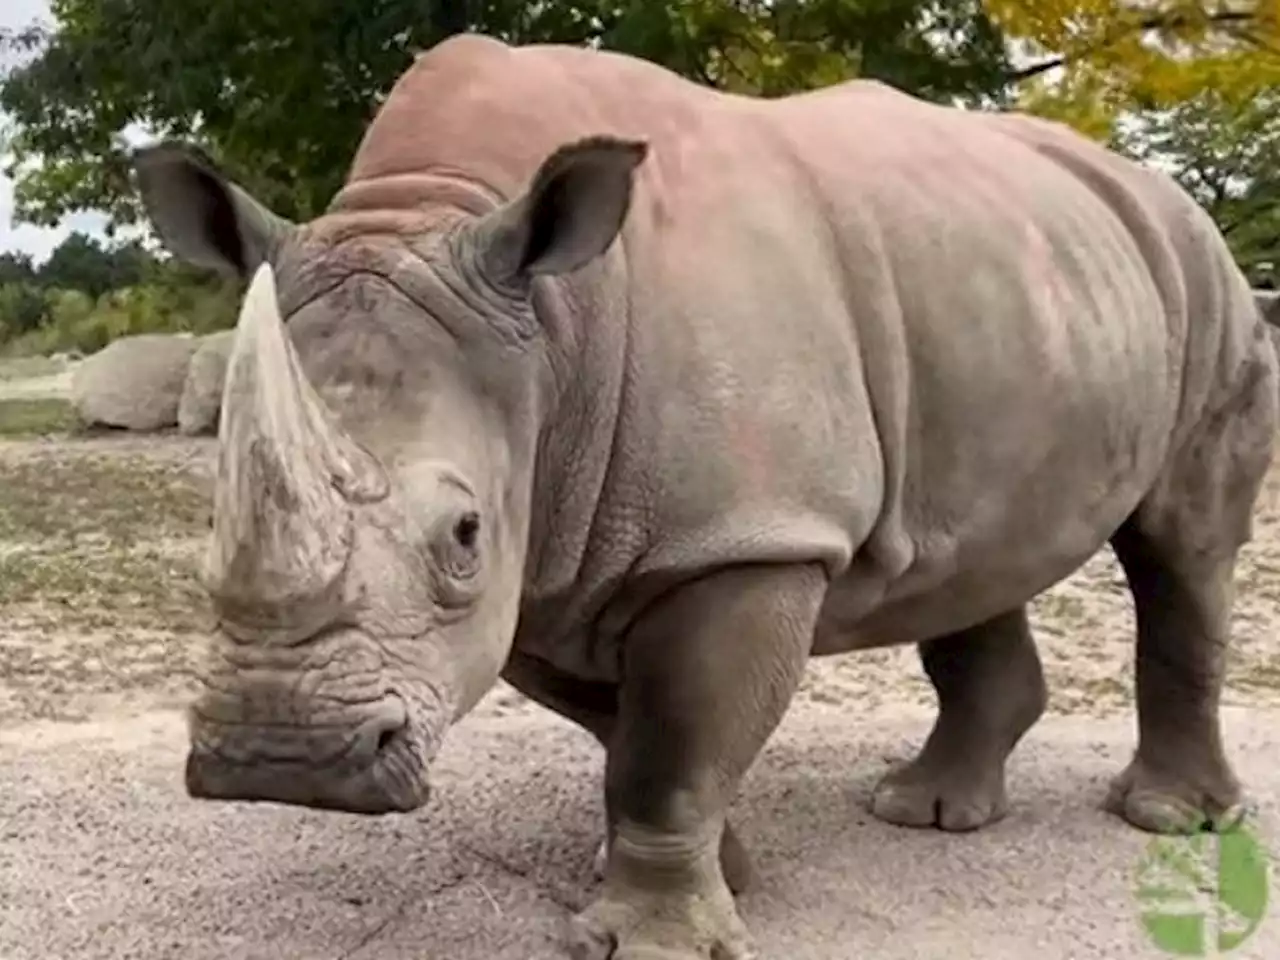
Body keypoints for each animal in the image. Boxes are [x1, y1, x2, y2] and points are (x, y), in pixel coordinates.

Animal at [135, 33, 1274, 960]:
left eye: (462, 534)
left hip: (1205, 278)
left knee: (1179, 548)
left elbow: (670, 746)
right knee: (971, 553)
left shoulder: (742, 537)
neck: (549, 328)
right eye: (209, 525)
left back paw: (1165, 822)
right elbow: (625, 731)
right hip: (1027, 292)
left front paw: (656, 941)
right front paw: (717, 877)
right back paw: (926, 811)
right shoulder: (557, 543)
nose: (282, 759)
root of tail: (1151, 190)